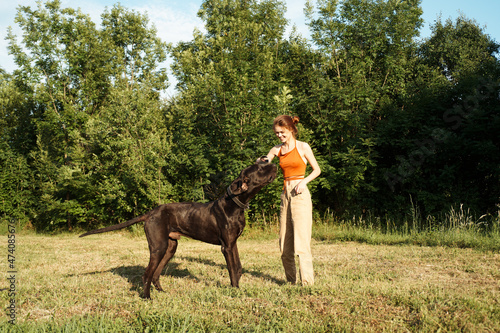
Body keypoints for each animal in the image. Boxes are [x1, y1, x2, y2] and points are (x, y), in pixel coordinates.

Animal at [79, 156, 276, 298]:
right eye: (259, 168)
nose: (273, 164)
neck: (235, 204)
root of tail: (151, 213)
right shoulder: (226, 246)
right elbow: (233, 269)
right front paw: (235, 291)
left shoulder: (233, 243)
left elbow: (239, 267)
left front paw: (237, 288)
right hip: (158, 247)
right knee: (147, 274)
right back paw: (147, 297)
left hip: (170, 247)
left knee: (155, 274)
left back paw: (161, 292)